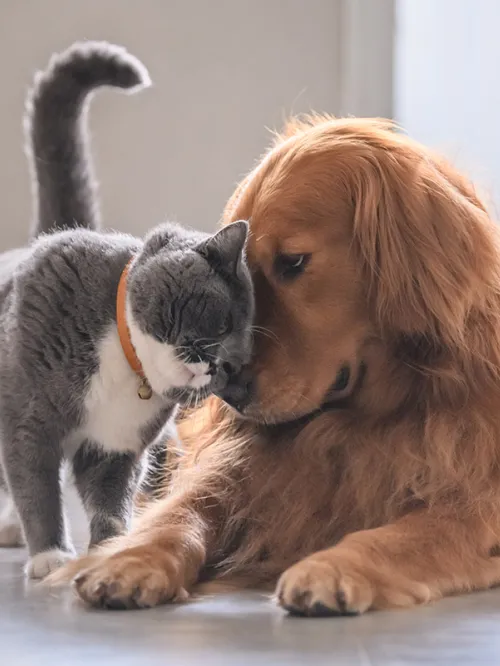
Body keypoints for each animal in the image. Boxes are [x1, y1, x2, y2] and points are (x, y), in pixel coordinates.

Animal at [0, 40, 254, 576]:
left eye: (238, 362)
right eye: (223, 322)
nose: (219, 366)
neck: (124, 362)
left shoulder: (115, 447)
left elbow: (109, 499)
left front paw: (110, 550)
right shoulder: (27, 419)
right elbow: (35, 485)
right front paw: (50, 555)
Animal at [49, 116, 500, 616]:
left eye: (293, 262)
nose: (227, 392)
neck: (362, 420)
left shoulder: (476, 500)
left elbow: (403, 535)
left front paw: (331, 567)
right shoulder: (235, 471)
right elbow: (181, 513)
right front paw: (130, 560)